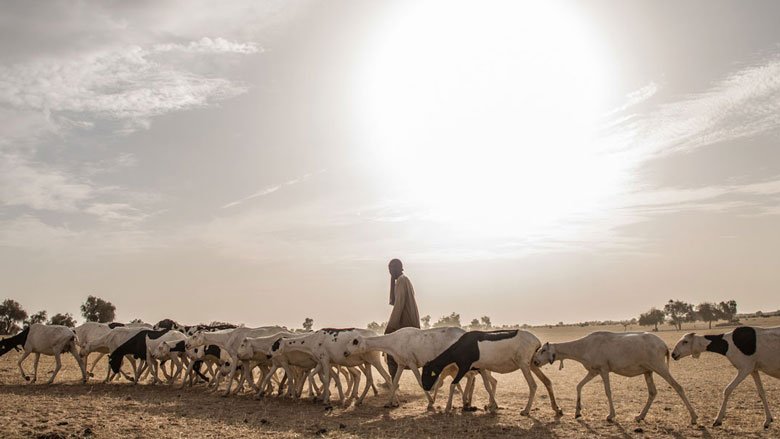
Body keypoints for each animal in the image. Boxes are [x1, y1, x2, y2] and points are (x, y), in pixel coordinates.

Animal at [420, 332, 560, 418]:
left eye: (426, 372)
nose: (425, 387)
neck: (463, 346)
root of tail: (536, 341)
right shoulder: (481, 368)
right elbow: (487, 386)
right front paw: (492, 405)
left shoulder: (464, 367)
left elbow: (452, 384)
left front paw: (448, 407)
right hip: (532, 364)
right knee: (547, 381)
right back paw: (556, 408)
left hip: (524, 365)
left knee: (533, 385)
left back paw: (526, 411)